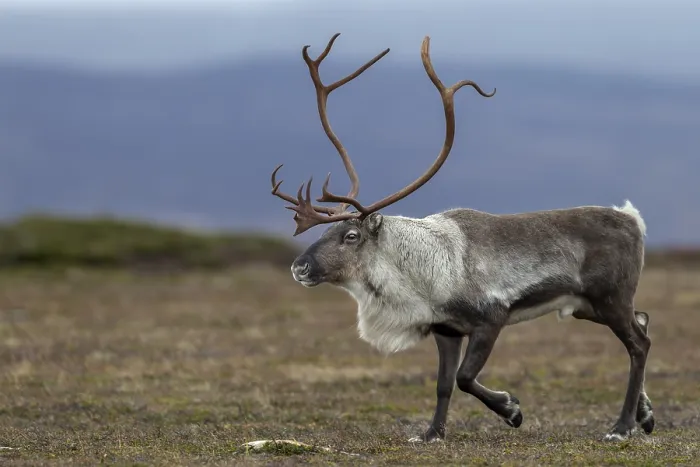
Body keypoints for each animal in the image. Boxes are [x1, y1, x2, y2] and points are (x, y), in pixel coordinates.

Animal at [269, 33, 653, 443]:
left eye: (351, 235)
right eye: (326, 230)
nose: (300, 266)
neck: (422, 273)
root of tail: (633, 219)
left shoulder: (491, 318)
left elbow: (466, 377)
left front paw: (511, 409)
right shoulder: (446, 330)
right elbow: (443, 384)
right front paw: (431, 433)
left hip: (610, 297)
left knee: (638, 344)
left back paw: (622, 426)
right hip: (586, 305)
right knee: (643, 321)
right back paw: (645, 415)